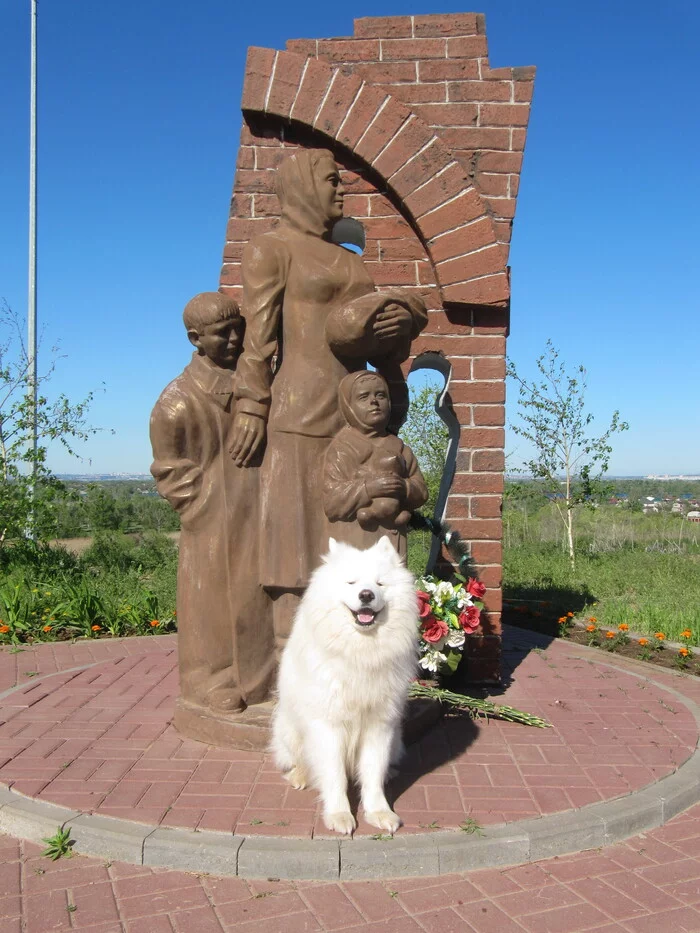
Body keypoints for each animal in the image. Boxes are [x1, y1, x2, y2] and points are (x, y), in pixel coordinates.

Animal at [270, 536, 418, 832]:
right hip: (289, 729)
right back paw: (300, 776)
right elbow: (335, 775)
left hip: (397, 736)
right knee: (298, 759)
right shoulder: (329, 725)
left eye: (379, 584)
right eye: (351, 583)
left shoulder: (379, 724)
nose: (366, 595)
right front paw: (339, 815)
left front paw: (379, 812)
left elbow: (373, 774)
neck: (361, 653)